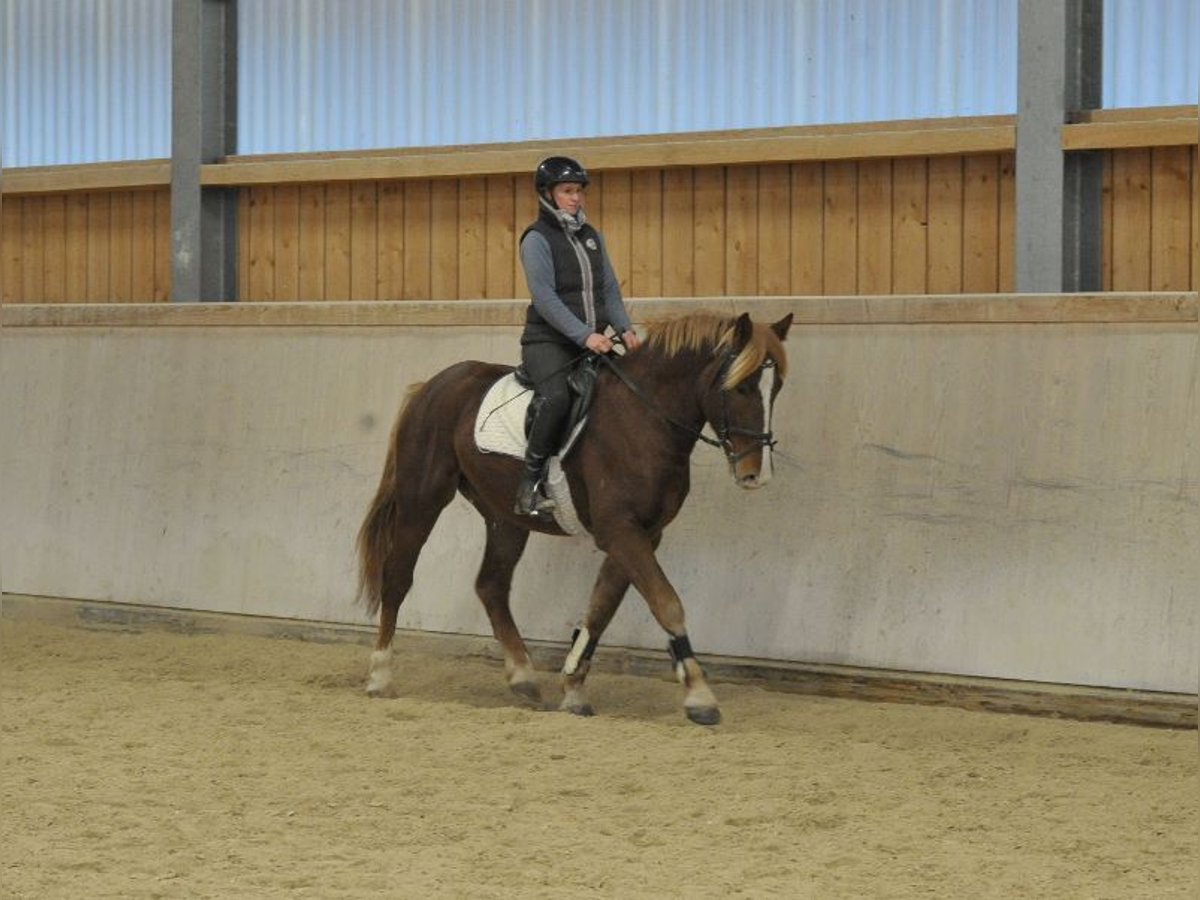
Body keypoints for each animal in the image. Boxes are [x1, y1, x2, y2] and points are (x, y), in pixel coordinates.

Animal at [352, 309, 787, 724]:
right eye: (741, 387)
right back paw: (380, 677)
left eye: (776, 388)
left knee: (491, 585)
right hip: (421, 500)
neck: (643, 419)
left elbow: (601, 607)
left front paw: (574, 688)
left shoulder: (643, 533)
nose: (756, 474)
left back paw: (523, 678)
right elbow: (666, 602)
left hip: (504, 517)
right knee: (397, 578)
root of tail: (430, 386)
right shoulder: (620, 530)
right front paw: (699, 697)